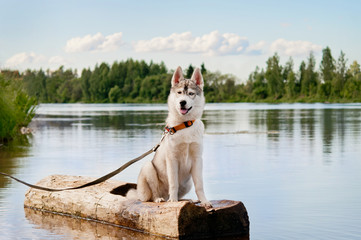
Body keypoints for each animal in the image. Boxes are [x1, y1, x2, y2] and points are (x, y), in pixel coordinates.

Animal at [126, 66, 211, 208]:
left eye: (191, 94)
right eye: (179, 92)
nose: (182, 102)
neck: (185, 125)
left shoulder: (197, 159)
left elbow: (199, 185)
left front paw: (204, 201)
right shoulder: (172, 159)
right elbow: (173, 183)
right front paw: (173, 201)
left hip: (188, 183)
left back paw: (185, 200)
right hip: (148, 168)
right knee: (153, 194)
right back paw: (160, 199)